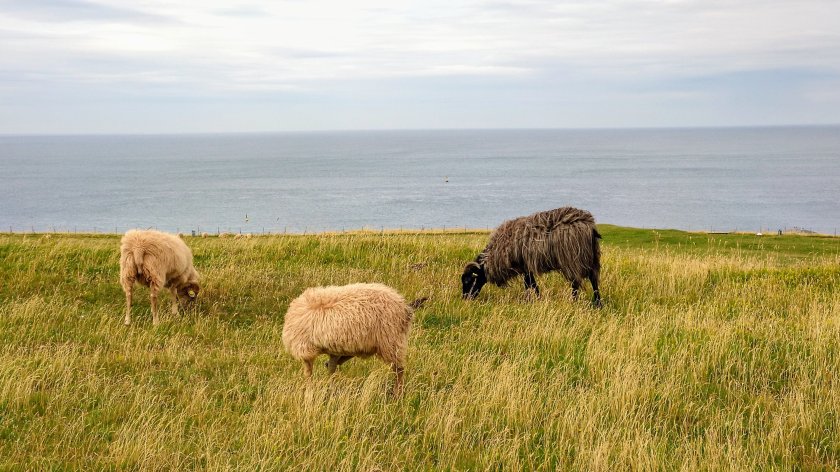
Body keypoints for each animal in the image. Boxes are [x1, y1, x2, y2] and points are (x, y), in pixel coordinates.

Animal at [282, 283, 424, 396]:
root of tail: (405, 308)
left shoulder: (306, 350)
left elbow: (309, 373)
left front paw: (310, 391)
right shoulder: (330, 350)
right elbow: (328, 369)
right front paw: (327, 389)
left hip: (391, 342)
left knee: (399, 370)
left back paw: (397, 394)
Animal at [461, 207, 602, 306]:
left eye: (468, 281)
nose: (464, 299)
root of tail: (589, 226)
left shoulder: (525, 265)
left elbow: (530, 284)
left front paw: (533, 300)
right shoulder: (526, 266)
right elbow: (531, 284)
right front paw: (536, 299)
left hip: (572, 258)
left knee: (576, 283)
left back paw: (574, 301)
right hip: (592, 256)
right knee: (593, 280)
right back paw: (598, 304)